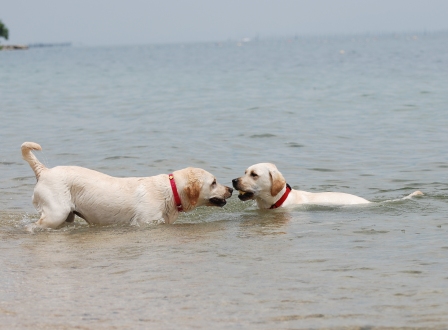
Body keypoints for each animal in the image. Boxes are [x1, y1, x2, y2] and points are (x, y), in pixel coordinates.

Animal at [21, 142, 233, 229]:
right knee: (32, 226)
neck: (170, 192)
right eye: (214, 182)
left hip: (67, 217)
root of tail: (44, 171)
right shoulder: (144, 222)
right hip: (56, 213)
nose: (230, 188)